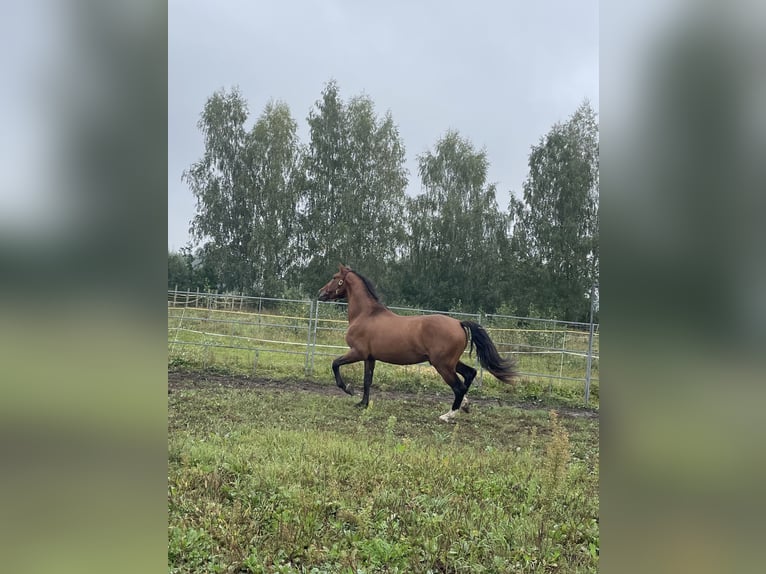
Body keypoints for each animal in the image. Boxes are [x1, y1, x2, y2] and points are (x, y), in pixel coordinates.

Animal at [318, 266, 516, 424]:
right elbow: (367, 381)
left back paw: (447, 415)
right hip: (450, 362)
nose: (320, 293)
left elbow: (335, 364)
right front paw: (362, 404)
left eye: (335, 277)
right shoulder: (370, 357)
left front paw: (348, 389)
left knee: (458, 387)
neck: (366, 315)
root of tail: (459, 323)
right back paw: (465, 406)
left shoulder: (357, 352)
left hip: (442, 364)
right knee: (469, 373)